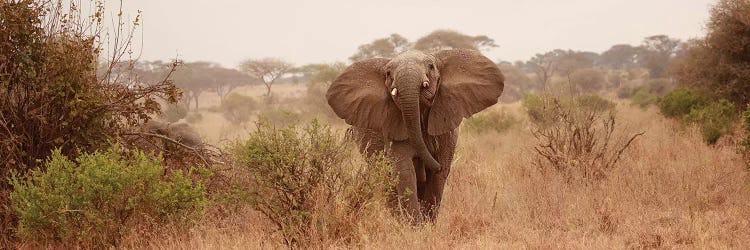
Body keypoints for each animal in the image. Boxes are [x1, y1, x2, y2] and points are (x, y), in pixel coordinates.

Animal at [328, 48, 506, 223]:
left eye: (431, 66)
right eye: (388, 73)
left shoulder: (446, 130)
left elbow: (439, 176)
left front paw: (426, 224)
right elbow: (404, 172)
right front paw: (414, 226)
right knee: (385, 180)